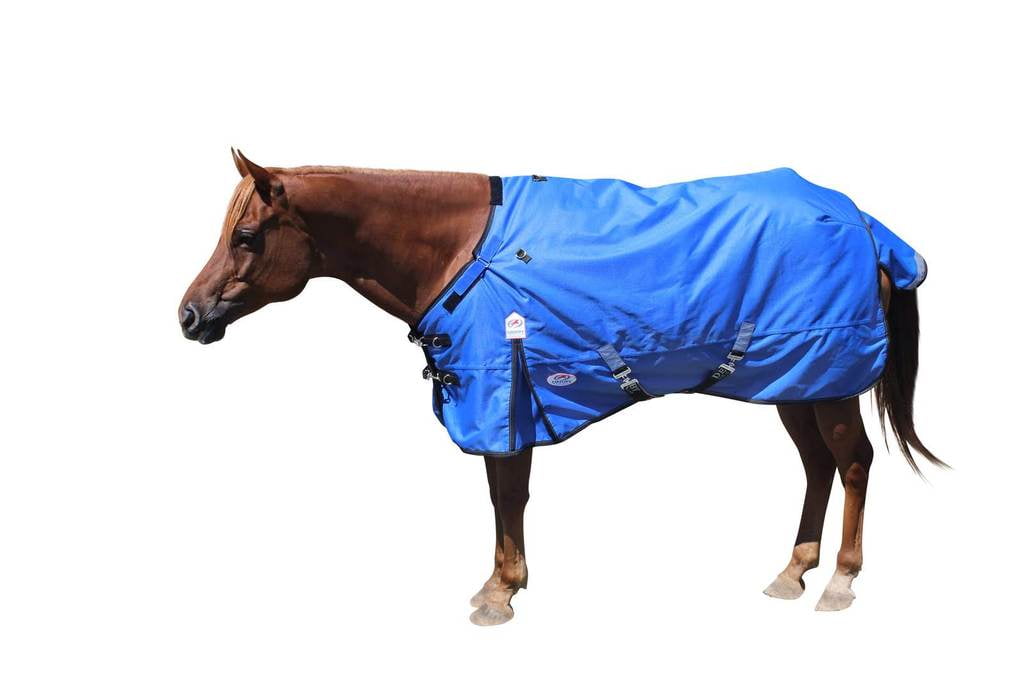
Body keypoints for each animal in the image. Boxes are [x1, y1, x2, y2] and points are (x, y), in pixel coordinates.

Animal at [179, 150, 944, 625]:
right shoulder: (507, 399)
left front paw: (499, 593)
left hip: (830, 379)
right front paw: (504, 583)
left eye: (246, 235)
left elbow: (507, 495)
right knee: (817, 466)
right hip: (796, 379)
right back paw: (793, 571)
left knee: (853, 463)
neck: (462, 249)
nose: (188, 315)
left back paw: (840, 580)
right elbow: (504, 495)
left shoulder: (504, 395)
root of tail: (866, 223)